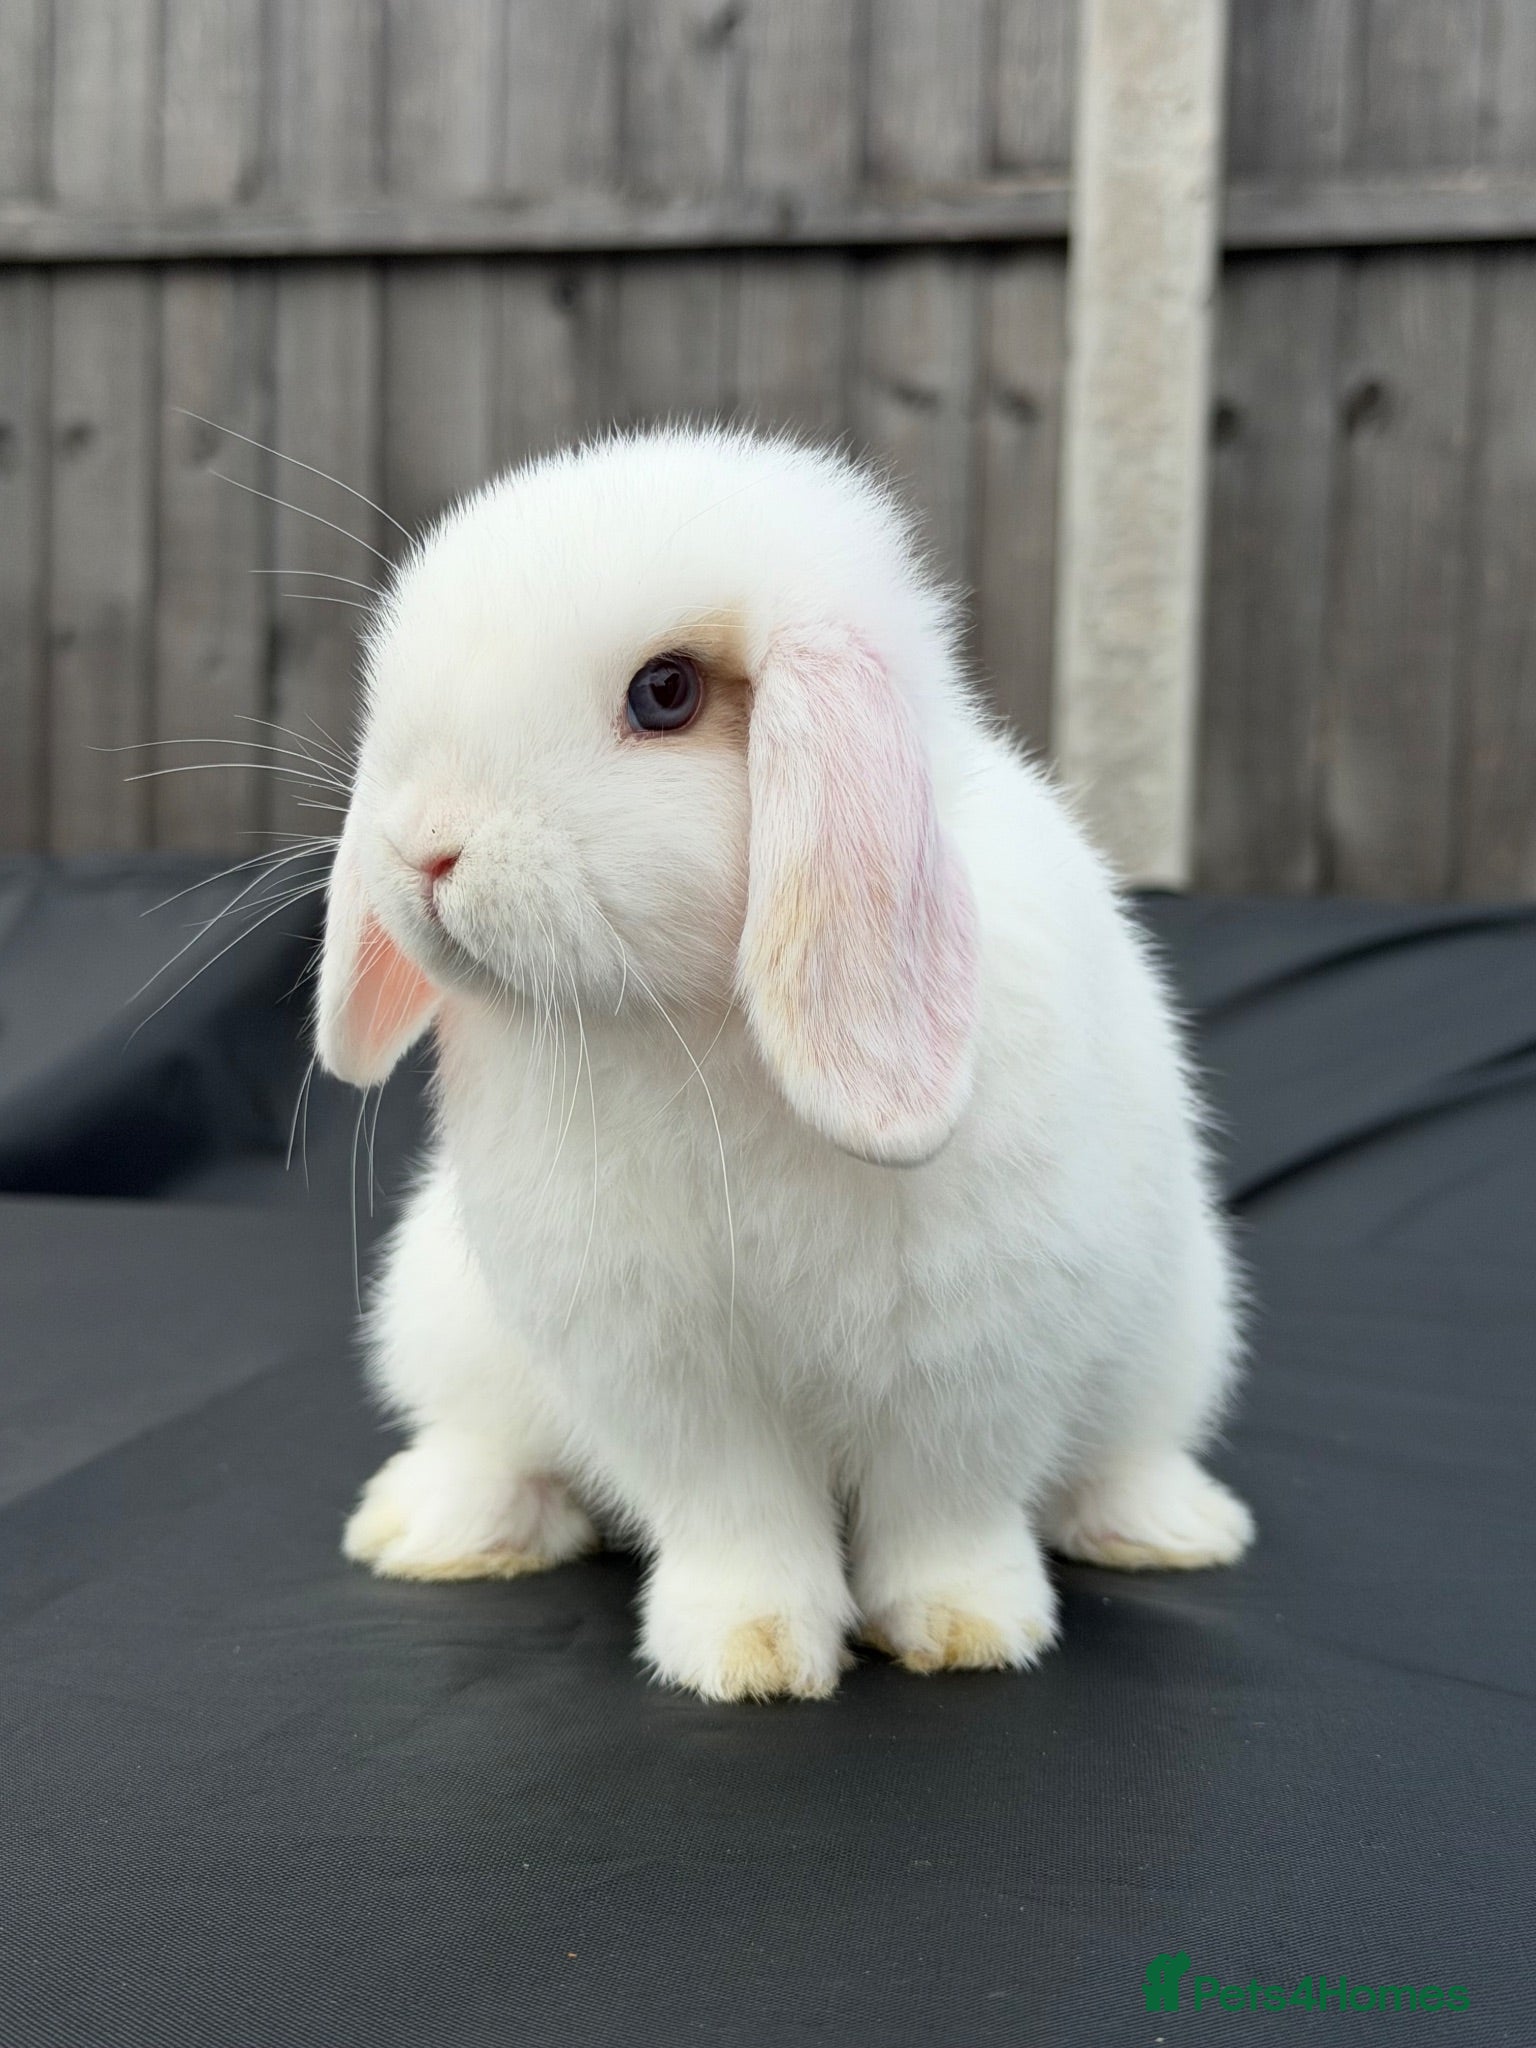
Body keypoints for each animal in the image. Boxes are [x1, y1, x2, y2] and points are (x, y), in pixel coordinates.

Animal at [320, 425, 1253, 1702]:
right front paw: (746, 1654)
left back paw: (1170, 1529)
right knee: (482, 1443)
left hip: (1180, 1329)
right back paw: (437, 1532)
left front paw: (967, 1631)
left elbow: (948, 1508)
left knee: (1125, 1451)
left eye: (665, 691)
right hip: (445, 1326)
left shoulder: (980, 1346)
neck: (702, 1024)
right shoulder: (663, 1368)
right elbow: (738, 1515)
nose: (423, 849)